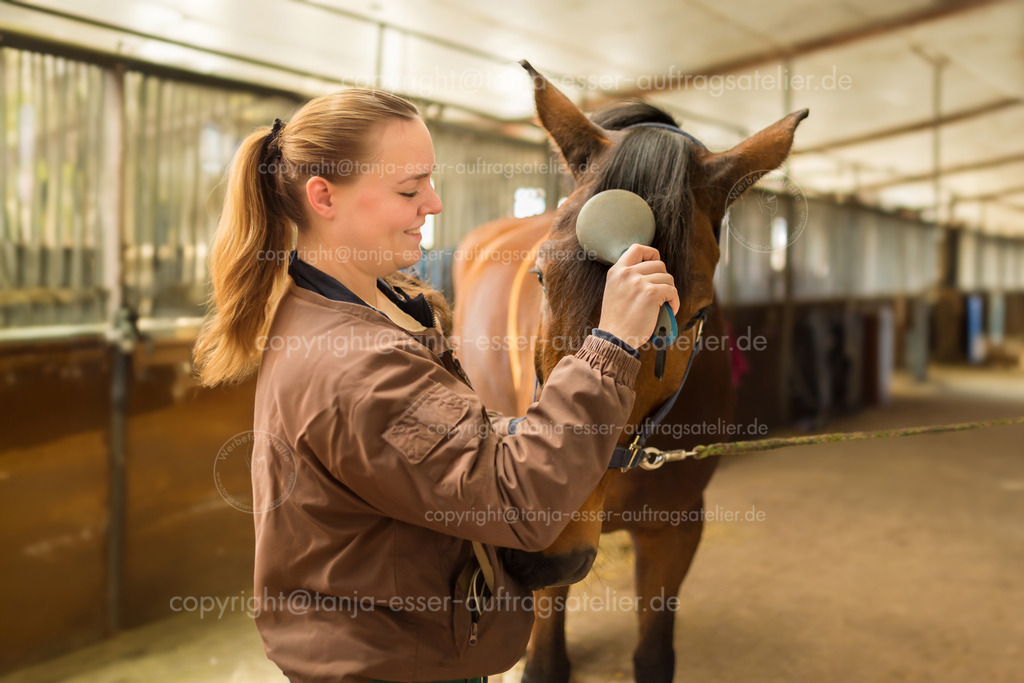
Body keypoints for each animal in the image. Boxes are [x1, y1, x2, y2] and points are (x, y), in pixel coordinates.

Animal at [452, 61, 807, 682]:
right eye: (542, 277)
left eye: (693, 314)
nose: (541, 548)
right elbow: (544, 663)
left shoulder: (676, 528)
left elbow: (654, 655)